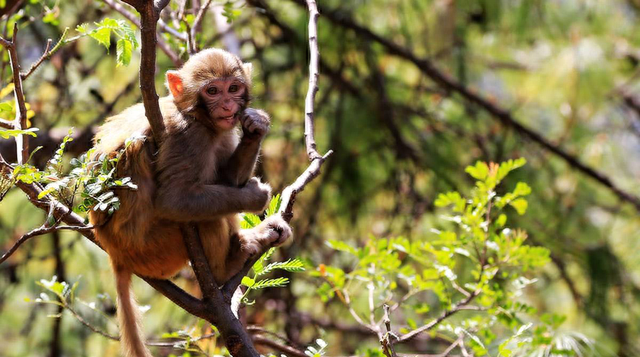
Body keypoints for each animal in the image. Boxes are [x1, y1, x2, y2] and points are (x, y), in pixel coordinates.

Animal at [87, 49, 292, 356]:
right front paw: (255, 197)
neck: (198, 116)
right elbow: (174, 200)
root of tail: (115, 253)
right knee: (204, 215)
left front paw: (256, 128)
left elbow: (227, 178)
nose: (228, 104)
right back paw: (226, 268)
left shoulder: (221, 130)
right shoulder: (187, 136)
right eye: (212, 91)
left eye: (234, 88)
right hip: (157, 249)